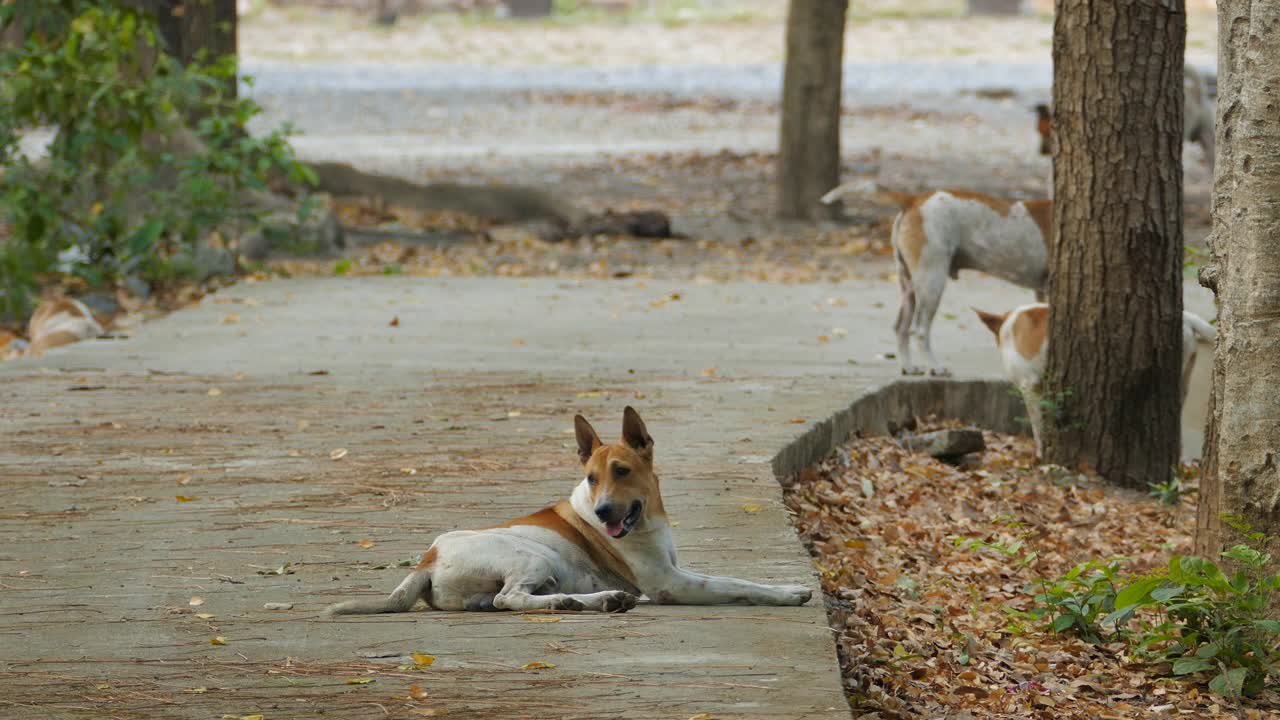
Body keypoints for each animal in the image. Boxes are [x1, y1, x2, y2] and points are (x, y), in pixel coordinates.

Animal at [327, 407, 808, 614]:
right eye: (591, 478)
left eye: (621, 471)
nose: (603, 512)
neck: (647, 520)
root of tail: (427, 560)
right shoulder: (671, 584)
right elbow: (738, 584)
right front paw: (787, 592)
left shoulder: (675, 571)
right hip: (532, 557)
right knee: (509, 599)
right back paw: (585, 601)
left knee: (505, 602)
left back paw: (596, 600)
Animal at [819, 178, 1049, 376]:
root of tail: (914, 200)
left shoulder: (1040, 291)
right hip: (932, 282)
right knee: (920, 330)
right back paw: (935, 367)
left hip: (909, 286)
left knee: (901, 327)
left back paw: (909, 367)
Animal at [972, 301, 1213, 456]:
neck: (1007, 326)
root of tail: (1186, 317)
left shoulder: (1030, 387)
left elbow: (1038, 426)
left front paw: (1041, 453)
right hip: (1181, 385)